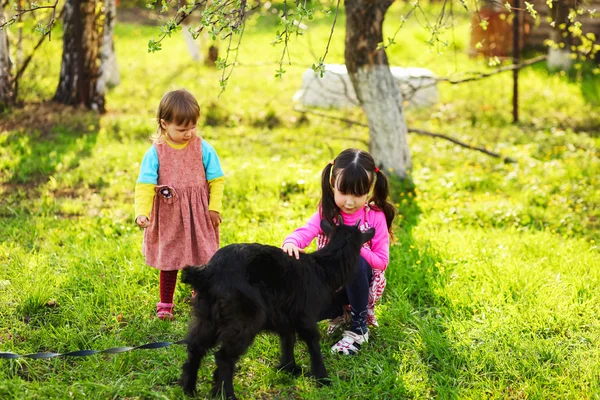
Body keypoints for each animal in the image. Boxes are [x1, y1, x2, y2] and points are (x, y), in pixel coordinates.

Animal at [179, 220, 376, 398]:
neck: (322, 268)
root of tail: (207, 272)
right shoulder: (306, 317)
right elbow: (313, 343)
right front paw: (322, 378)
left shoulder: (286, 318)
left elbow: (288, 341)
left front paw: (289, 368)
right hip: (244, 320)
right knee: (223, 357)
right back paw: (227, 395)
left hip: (208, 317)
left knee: (196, 347)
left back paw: (189, 389)